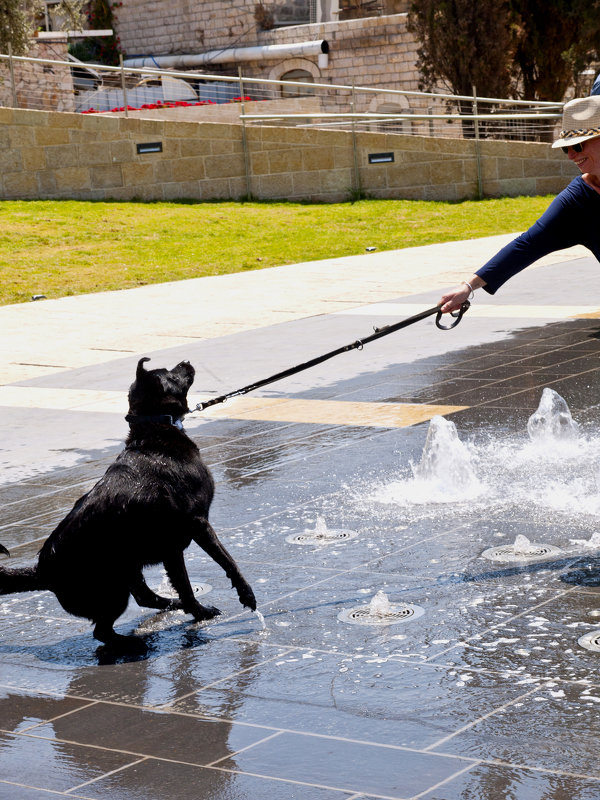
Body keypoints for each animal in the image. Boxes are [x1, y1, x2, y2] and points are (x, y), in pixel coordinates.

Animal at [0, 360, 255, 652]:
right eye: (170, 373)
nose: (187, 362)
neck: (155, 429)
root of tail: (41, 572)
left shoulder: (172, 548)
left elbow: (185, 584)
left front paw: (195, 610)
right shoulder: (196, 525)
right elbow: (225, 563)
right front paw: (239, 597)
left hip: (128, 570)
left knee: (144, 598)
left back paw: (170, 605)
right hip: (113, 589)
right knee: (102, 631)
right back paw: (134, 643)